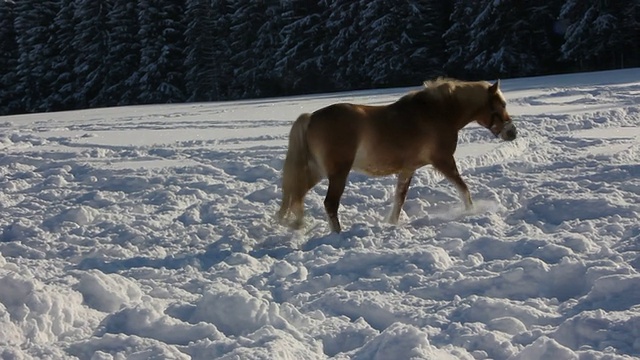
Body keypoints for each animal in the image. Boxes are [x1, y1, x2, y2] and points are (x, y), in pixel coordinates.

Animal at [276, 77, 516, 232]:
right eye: (501, 104)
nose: (512, 133)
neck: (437, 112)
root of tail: (310, 117)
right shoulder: (443, 161)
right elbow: (463, 188)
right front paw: (471, 211)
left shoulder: (408, 169)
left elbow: (399, 198)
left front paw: (392, 223)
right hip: (337, 173)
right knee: (329, 203)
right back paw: (337, 234)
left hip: (317, 171)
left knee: (296, 195)